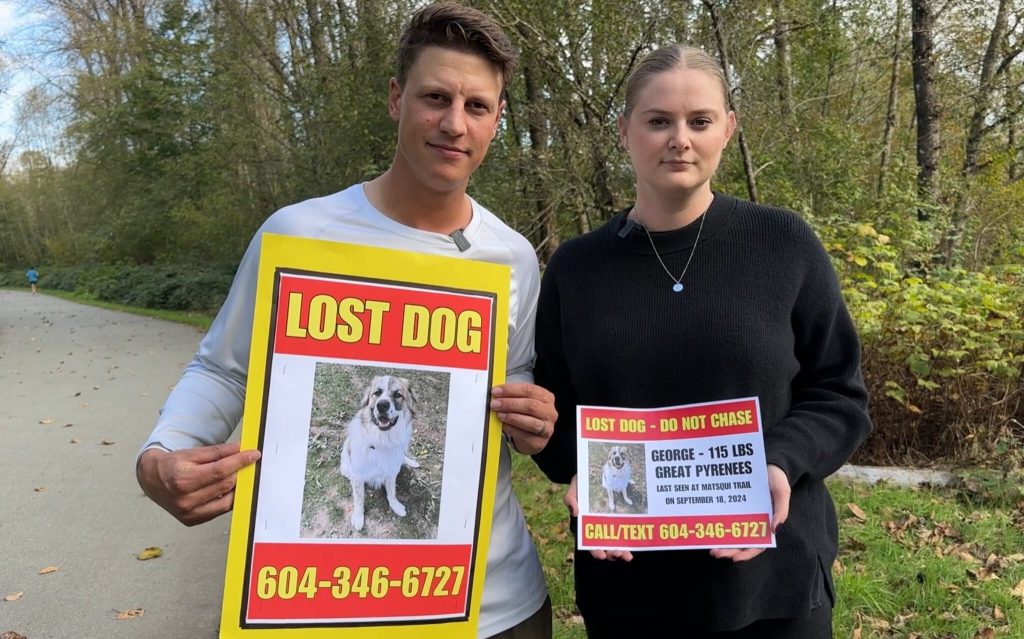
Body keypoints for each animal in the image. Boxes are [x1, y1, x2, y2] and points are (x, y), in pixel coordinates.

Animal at [339, 376, 419, 532]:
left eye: (398, 395)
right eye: (377, 392)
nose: (382, 405)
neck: (382, 440)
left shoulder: (391, 471)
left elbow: (392, 492)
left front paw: (396, 506)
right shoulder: (358, 475)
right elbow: (359, 499)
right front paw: (358, 517)